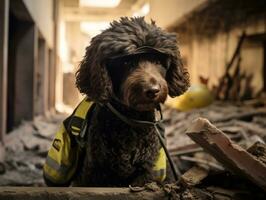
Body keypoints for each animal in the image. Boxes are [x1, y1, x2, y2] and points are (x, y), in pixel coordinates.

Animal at [72, 16, 189, 186]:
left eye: (157, 61)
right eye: (126, 62)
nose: (153, 90)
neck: (131, 122)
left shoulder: (146, 171)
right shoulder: (96, 172)